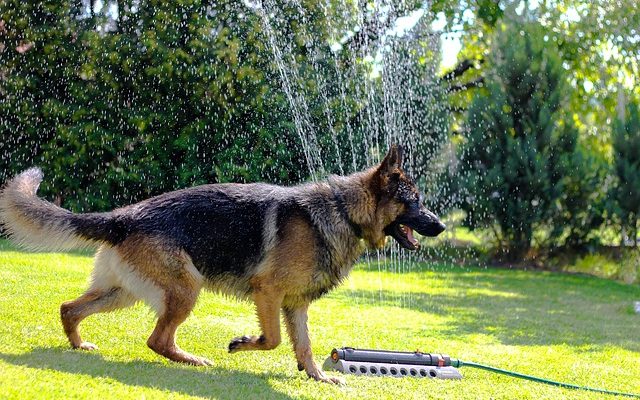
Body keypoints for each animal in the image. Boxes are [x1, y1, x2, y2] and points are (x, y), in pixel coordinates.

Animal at [0, 145, 444, 382]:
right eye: (415, 201)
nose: (440, 225)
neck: (343, 211)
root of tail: (123, 215)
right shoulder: (268, 292)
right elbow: (275, 339)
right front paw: (242, 343)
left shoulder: (296, 305)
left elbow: (303, 345)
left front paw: (317, 377)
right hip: (186, 288)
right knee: (156, 340)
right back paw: (193, 361)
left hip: (122, 292)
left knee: (69, 308)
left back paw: (78, 345)